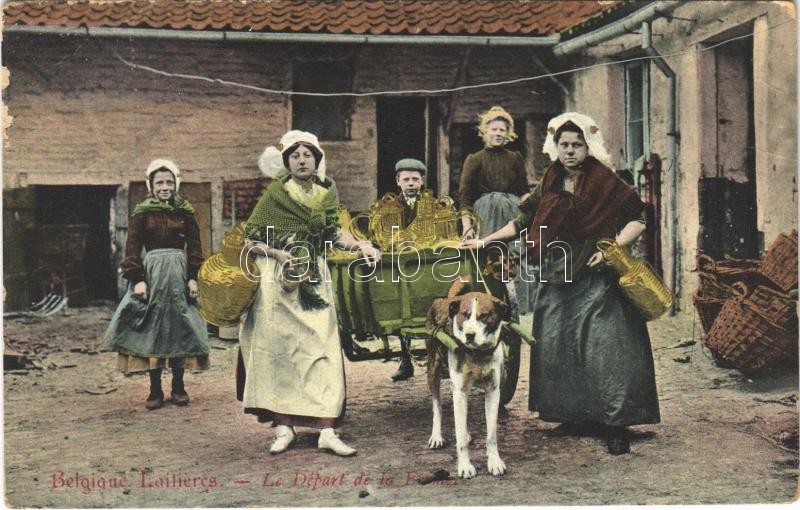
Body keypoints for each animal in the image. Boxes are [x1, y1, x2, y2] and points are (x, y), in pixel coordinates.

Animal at [424, 278, 506, 478]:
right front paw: (465, 466)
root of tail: (445, 300)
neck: (477, 353)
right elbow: (459, 436)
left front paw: (494, 461)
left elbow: (491, 434)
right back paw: (436, 436)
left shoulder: (493, 390)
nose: (469, 334)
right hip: (433, 370)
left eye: (484, 316)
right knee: (437, 407)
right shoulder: (459, 389)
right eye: (465, 315)